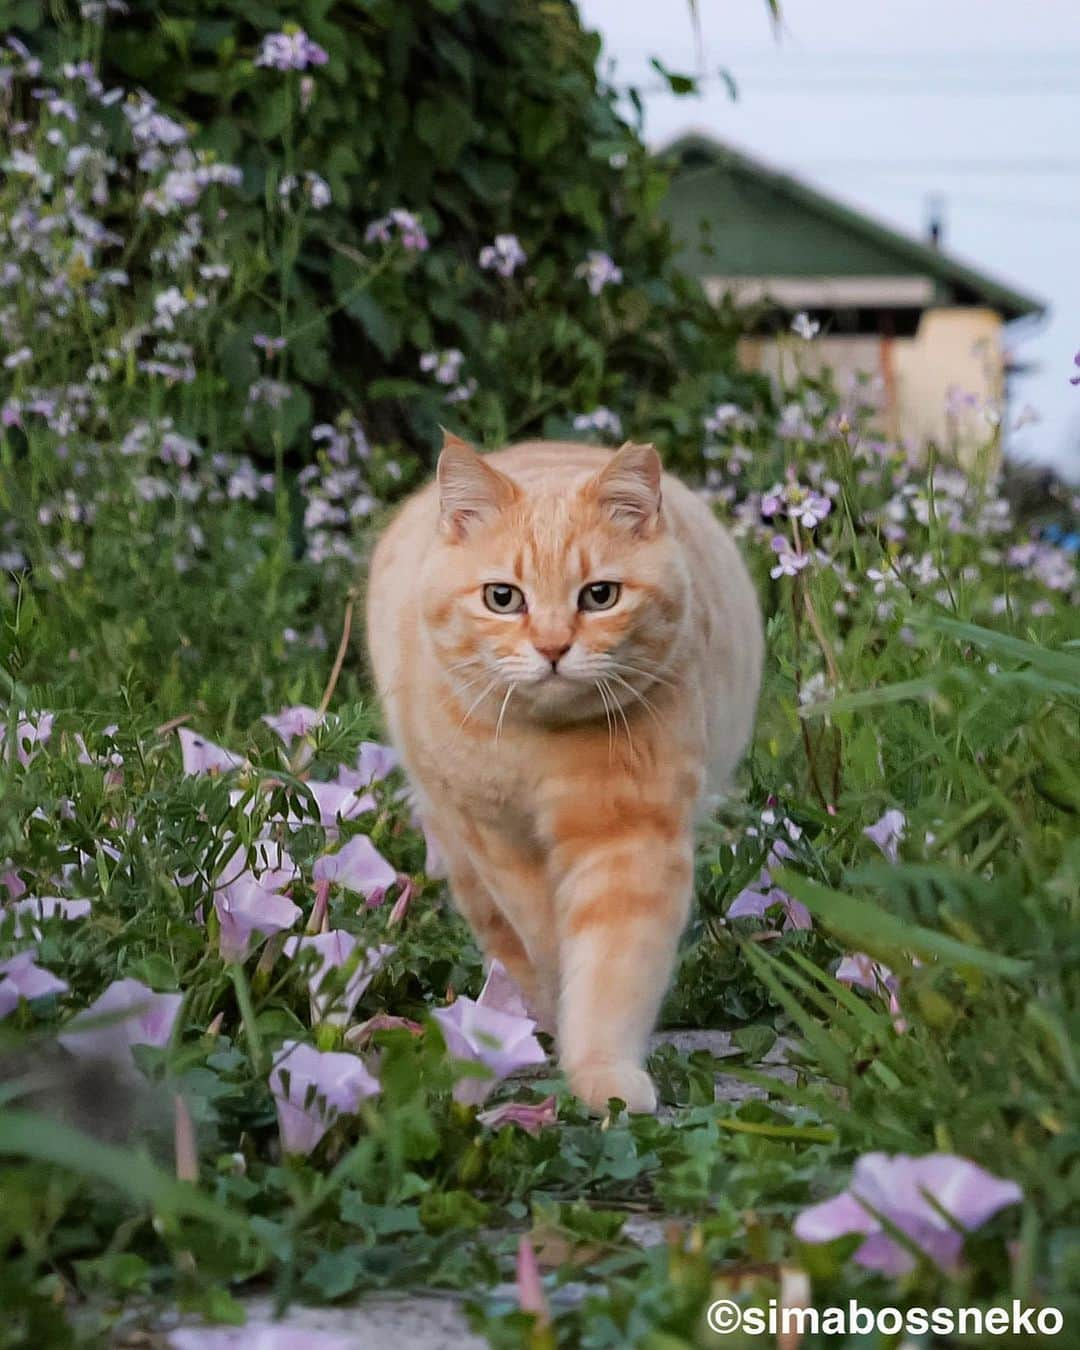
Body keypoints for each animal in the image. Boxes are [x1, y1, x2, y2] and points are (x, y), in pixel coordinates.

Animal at [367, 437, 761, 1112]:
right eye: (503, 598)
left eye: (600, 595)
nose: (552, 648)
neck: (543, 751)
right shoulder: (498, 841)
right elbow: (545, 943)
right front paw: (557, 1014)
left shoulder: (631, 840)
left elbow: (612, 969)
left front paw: (602, 1072)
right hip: (458, 845)